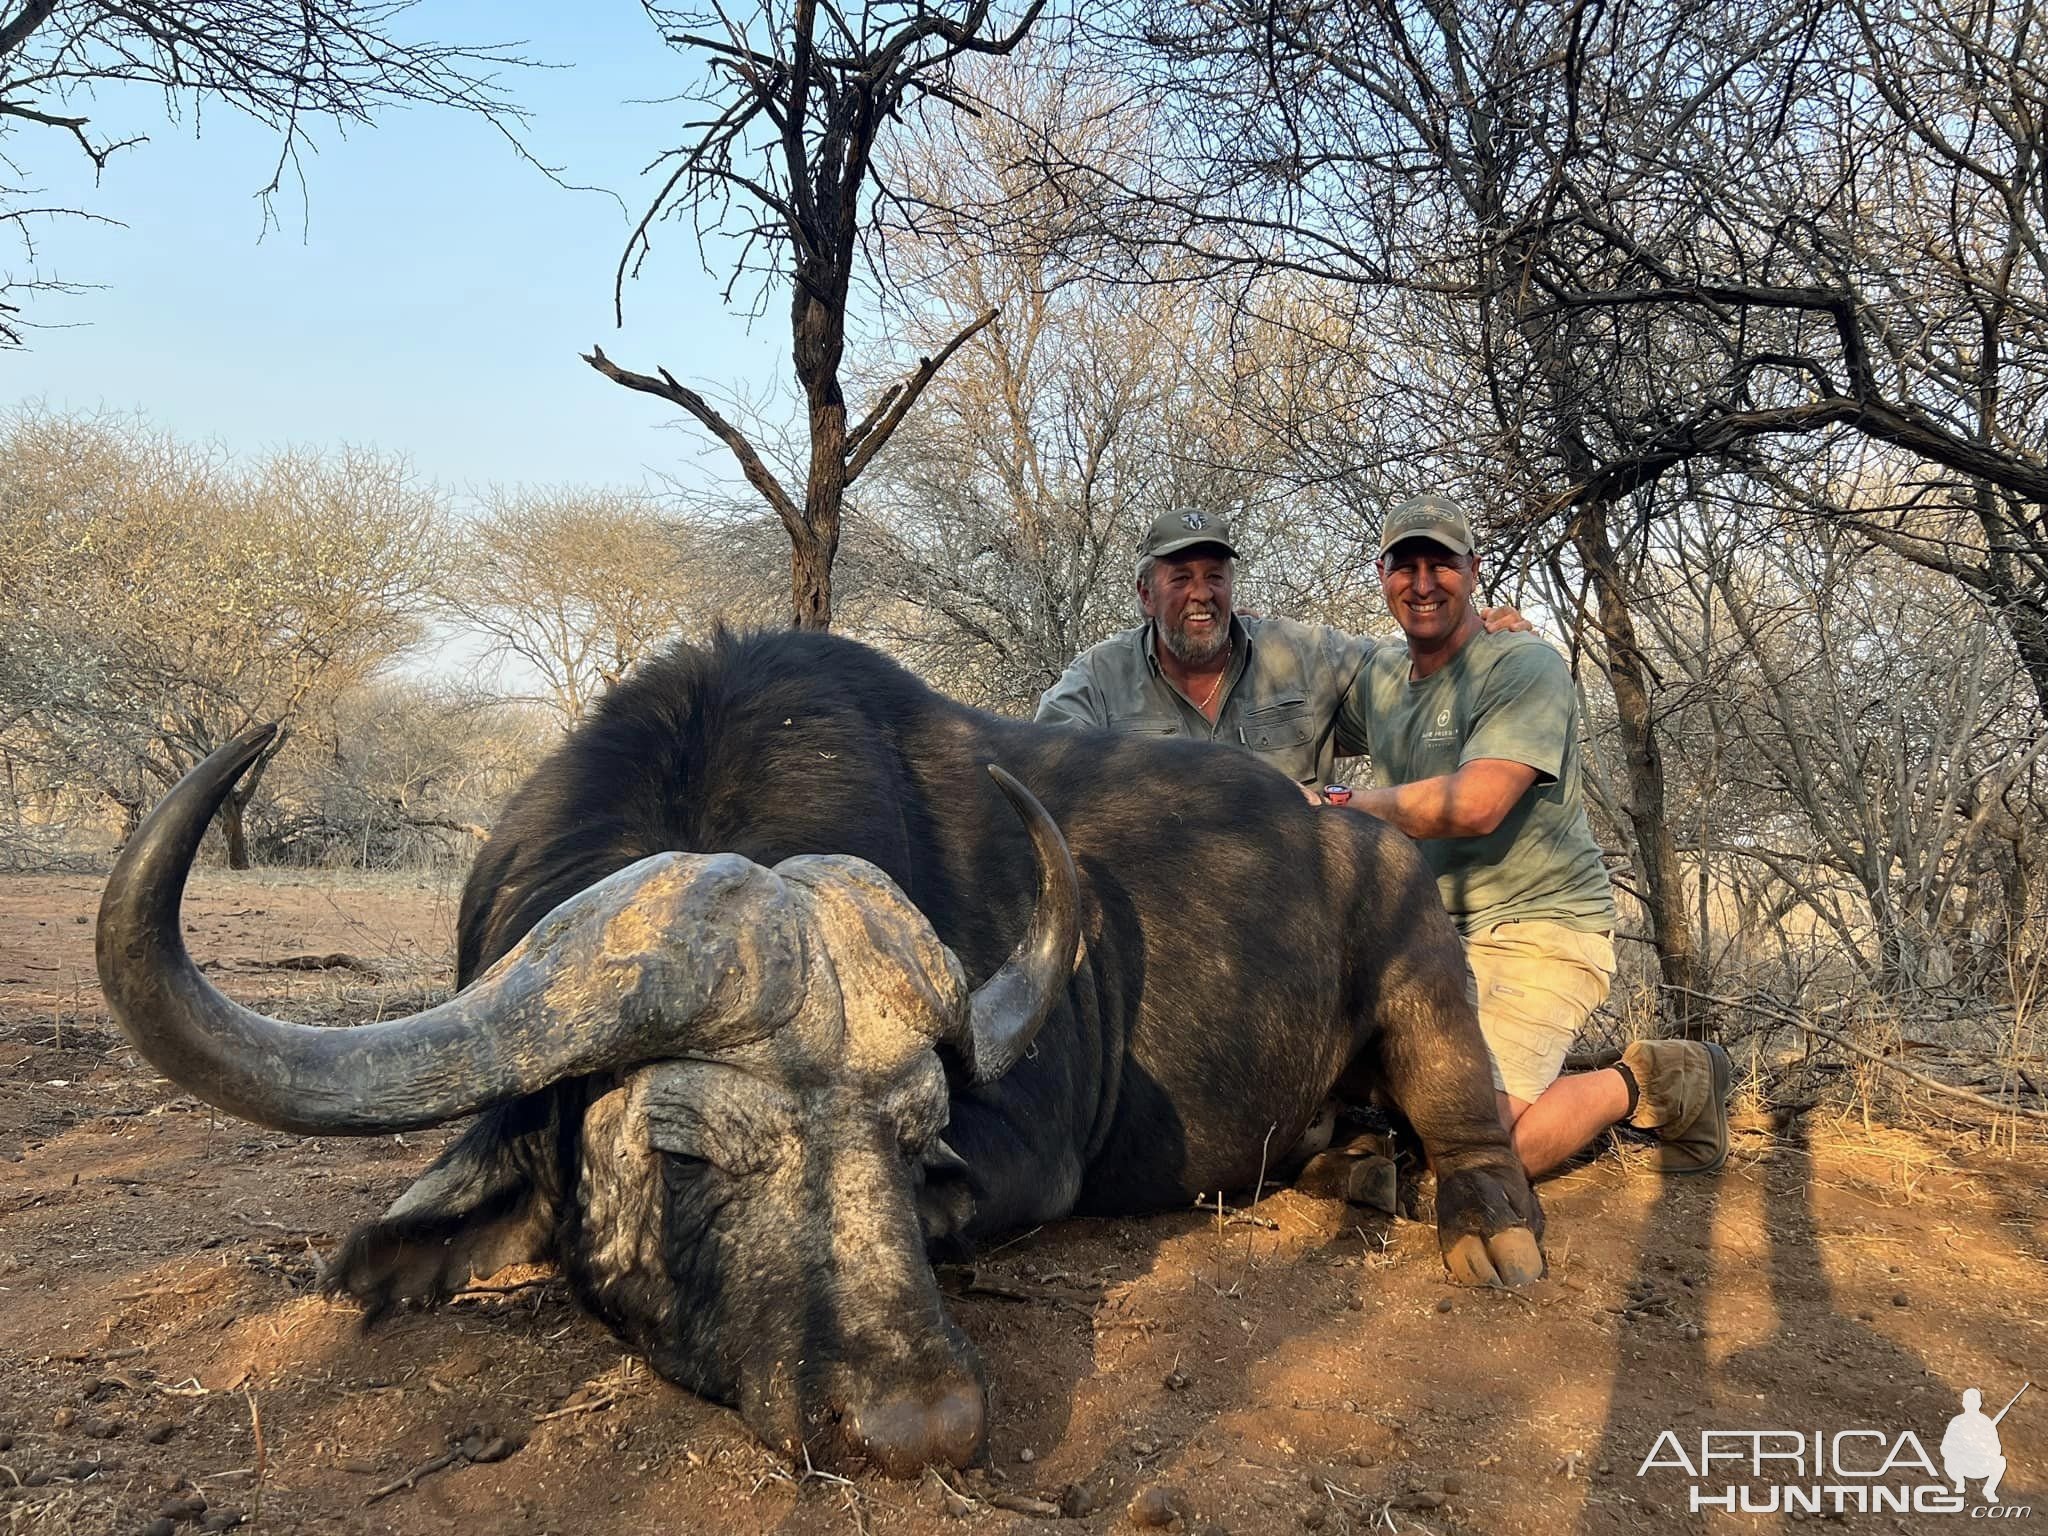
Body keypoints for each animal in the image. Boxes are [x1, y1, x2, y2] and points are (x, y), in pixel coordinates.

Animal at [92, 626, 1540, 1482]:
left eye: (911, 1141)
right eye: (685, 1156)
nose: (921, 1431)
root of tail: (1349, 837)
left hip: (1423, 965)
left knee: (1471, 1115)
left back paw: (1483, 1227)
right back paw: (1356, 1168)